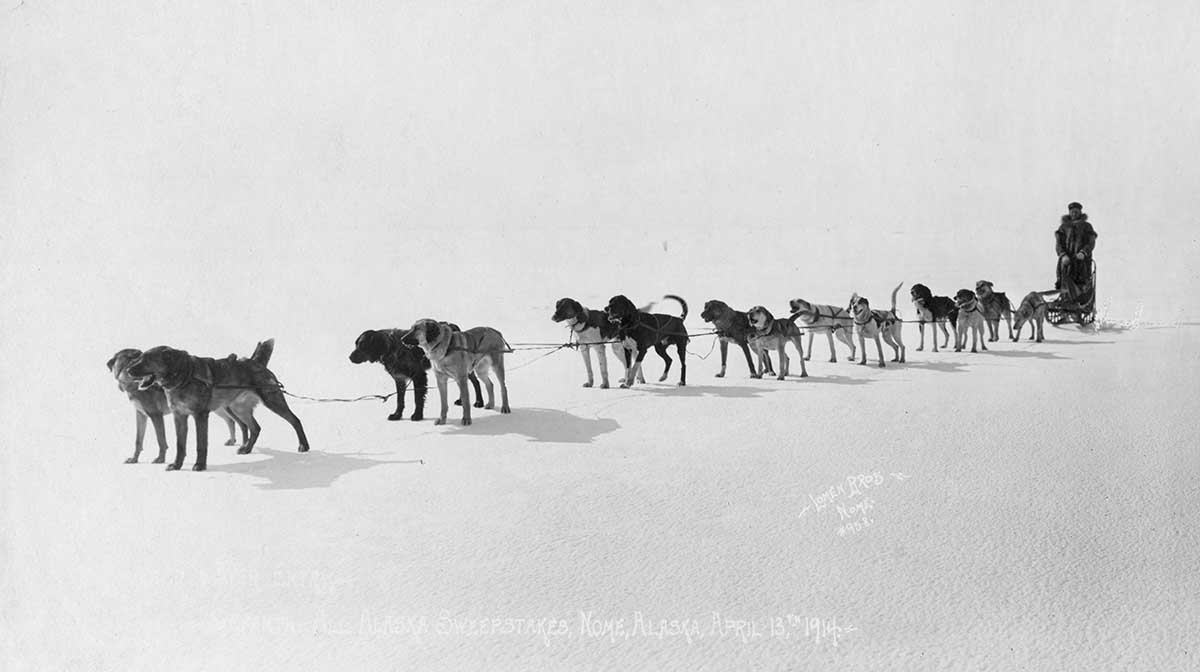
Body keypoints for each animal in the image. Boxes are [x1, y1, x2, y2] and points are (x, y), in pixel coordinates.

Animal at [348, 326, 482, 420]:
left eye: (362, 345)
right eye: (356, 344)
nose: (349, 357)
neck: (392, 348)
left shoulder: (419, 376)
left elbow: (417, 398)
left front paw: (417, 415)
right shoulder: (399, 378)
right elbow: (400, 400)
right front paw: (397, 415)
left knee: (475, 382)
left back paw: (479, 402)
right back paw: (461, 400)